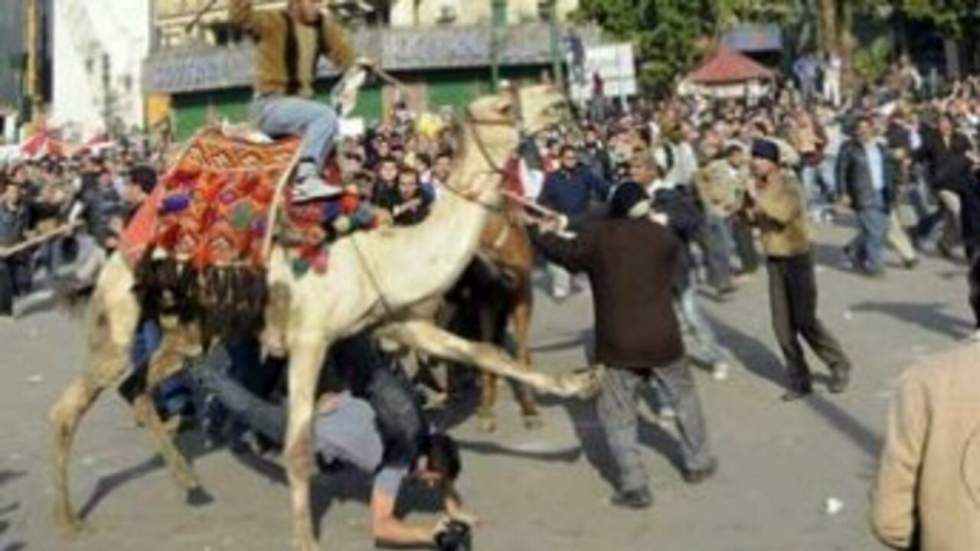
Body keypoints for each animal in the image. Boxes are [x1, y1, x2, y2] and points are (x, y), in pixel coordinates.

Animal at [49, 83, 592, 551]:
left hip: (190, 326)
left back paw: (190, 481)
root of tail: (117, 245)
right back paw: (69, 521)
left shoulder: (397, 321)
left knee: (138, 384)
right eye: (503, 104)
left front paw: (581, 385)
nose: (557, 95)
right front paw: (305, 539)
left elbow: (483, 350)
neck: (380, 253)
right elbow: (297, 444)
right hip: (118, 313)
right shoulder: (309, 337)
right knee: (70, 405)